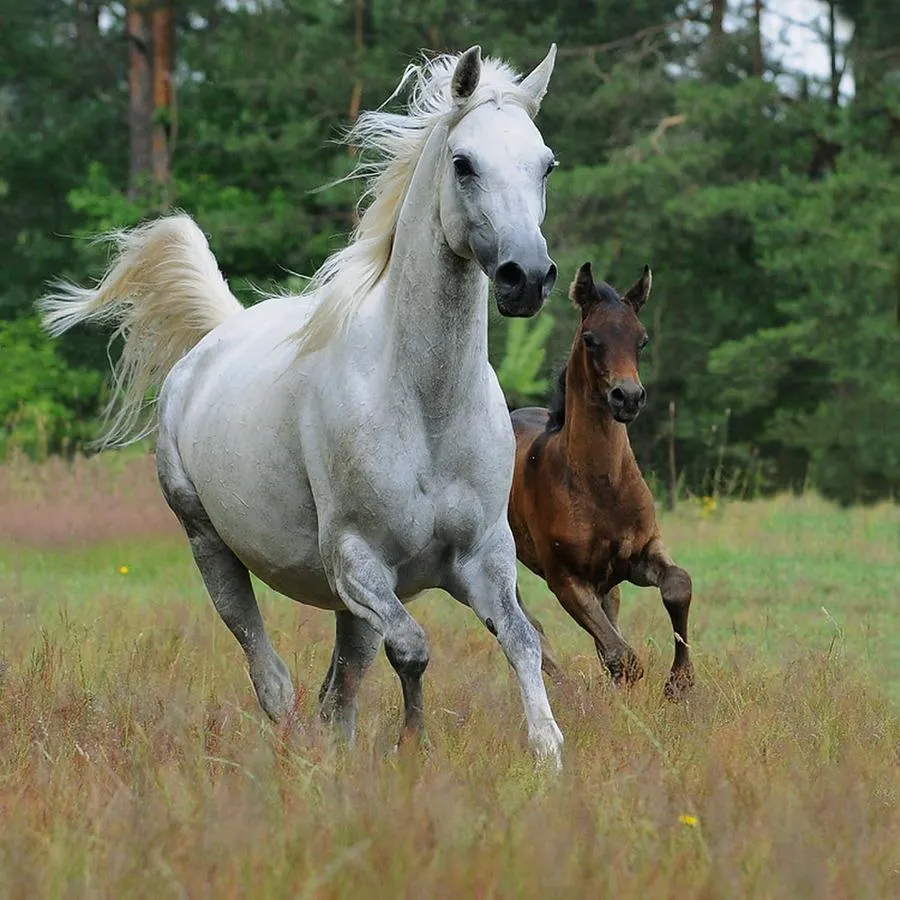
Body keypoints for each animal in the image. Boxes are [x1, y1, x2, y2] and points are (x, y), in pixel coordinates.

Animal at [42, 45, 568, 768]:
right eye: (464, 163)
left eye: (546, 163)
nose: (528, 277)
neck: (424, 406)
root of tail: (211, 343)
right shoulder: (357, 559)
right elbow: (414, 649)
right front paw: (414, 749)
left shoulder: (482, 557)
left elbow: (523, 642)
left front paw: (548, 757)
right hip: (213, 549)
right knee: (275, 679)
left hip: (351, 602)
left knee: (337, 693)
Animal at [510, 260, 692, 696]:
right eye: (591, 339)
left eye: (642, 340)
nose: (628, 397)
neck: (601, 486)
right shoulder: (565, 578)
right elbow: (620, 655)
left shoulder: (638, 555)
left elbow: (678, 585)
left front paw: (680, 682)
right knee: (531, 629)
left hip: (608, 580)